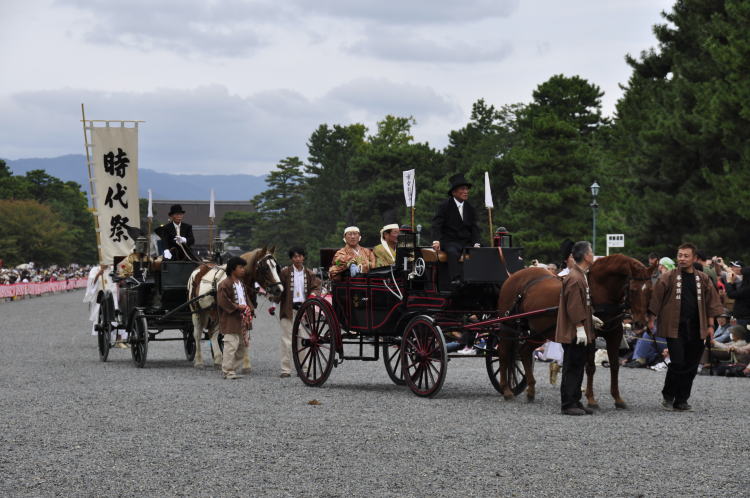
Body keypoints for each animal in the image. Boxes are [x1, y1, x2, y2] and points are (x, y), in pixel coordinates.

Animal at [496, 253, 656, 408]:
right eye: (633, 290)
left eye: (650, 290)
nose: (640, 323)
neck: (601, 291)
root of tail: (514, 276)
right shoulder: (591, 335)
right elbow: (590, 367)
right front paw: (591, 399)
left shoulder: (614, 333)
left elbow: (615, 366)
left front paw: (617, 398)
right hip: (508, 325)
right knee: (503, 353)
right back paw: (506, 390)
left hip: (539, 331)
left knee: (524, 351)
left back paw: (530, 390)